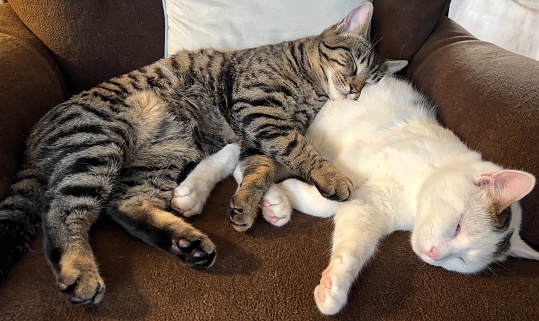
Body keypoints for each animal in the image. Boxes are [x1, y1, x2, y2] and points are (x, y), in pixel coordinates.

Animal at [0, 1, 408, 302]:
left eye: (370, 82)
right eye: (353, 64)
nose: (354, 91)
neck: (309, 87)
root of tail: (32, 140)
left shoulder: (255, 135)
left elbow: (260, 170)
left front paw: (245, 204)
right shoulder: (260, 109)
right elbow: (300, 149)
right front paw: (332, 177)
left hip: (161, 157)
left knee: (124, 205)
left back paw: (188, 244)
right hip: (100, 141)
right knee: (62, 210)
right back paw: (79, 268)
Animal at [173, 75, 539, 316]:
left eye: (460, 261)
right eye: (459, 224)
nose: (434, 254)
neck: (415, 195)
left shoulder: (370, 208)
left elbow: (351, 248)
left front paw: (334, 287)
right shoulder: (349, 163)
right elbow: (329, 195)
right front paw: (286, 194)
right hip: (295, 132)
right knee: (237, 153)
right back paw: (194, 191)